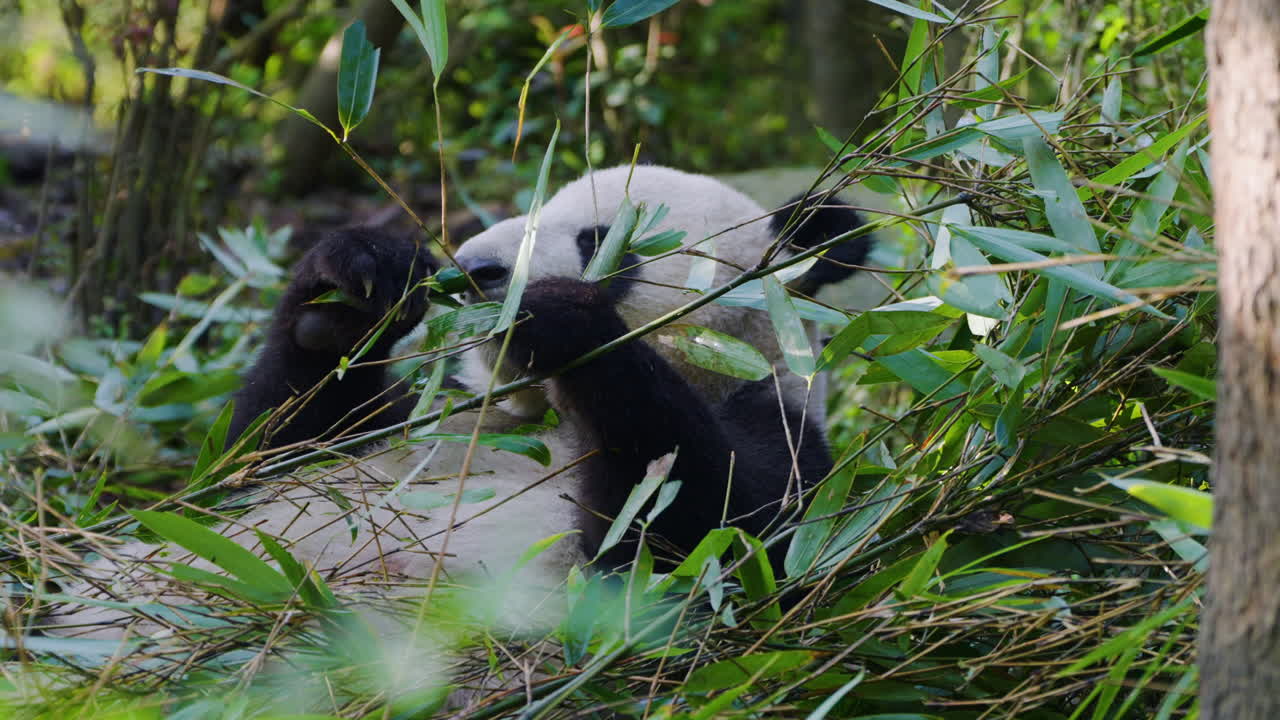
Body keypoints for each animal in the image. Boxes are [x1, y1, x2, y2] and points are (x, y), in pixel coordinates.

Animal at [48, 165, 872, 640]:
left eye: (606, 241)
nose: (479, 271)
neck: (540, 415)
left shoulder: (779, 439)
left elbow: (688, 541)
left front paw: (559, 316)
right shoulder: (426, 421)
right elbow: (255, 458)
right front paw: (353, 285)